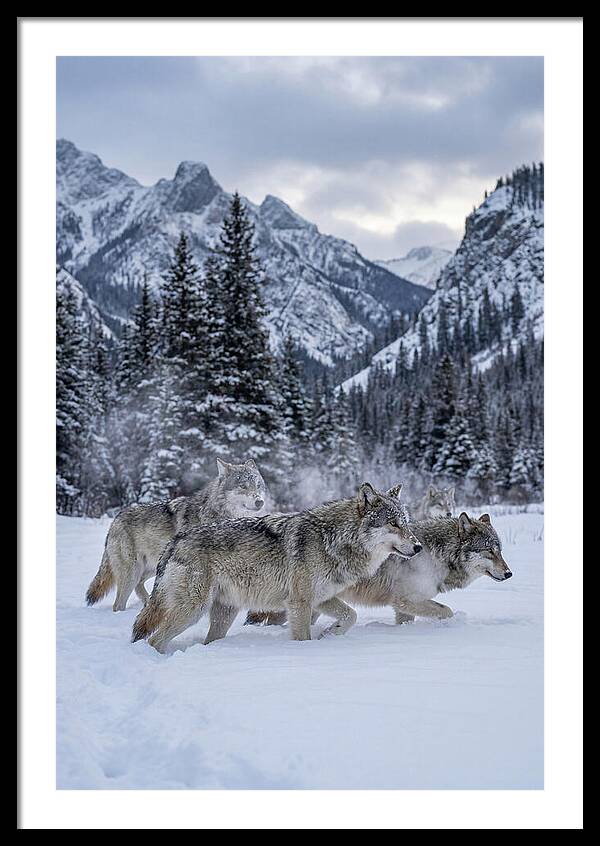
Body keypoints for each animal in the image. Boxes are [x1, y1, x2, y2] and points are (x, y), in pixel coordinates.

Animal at [85, 458, 267, 612]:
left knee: (139, 586)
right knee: (118, 604)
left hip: (153, 567)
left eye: (258, 485)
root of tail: (116, 518)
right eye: (243, 485)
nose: (260, 501)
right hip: (132, 572)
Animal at [131, 482, 422, 652]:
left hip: (224, 614)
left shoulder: (321, 599)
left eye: (406, 522)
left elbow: (351, 615)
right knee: (154, 639)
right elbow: (303, 637)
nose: (418, 546)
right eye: (393, 524)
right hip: (192, 610)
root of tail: (175, 540)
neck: (334, 539)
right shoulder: (300, 603)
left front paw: (330, 634)